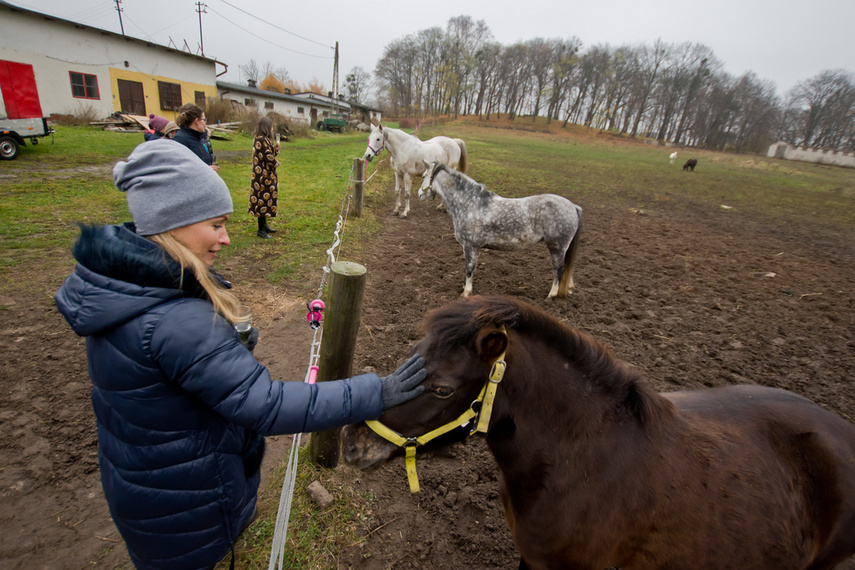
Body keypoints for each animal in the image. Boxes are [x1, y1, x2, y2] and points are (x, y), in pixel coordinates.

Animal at [420, 160, 580, 298]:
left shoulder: (470, 246)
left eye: (423, 176)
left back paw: (551, 295)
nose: (420, 194)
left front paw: (466, 292)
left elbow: (469, 268)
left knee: (559, 269)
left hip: (556, 247)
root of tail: (573, 206)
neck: (470, 204)